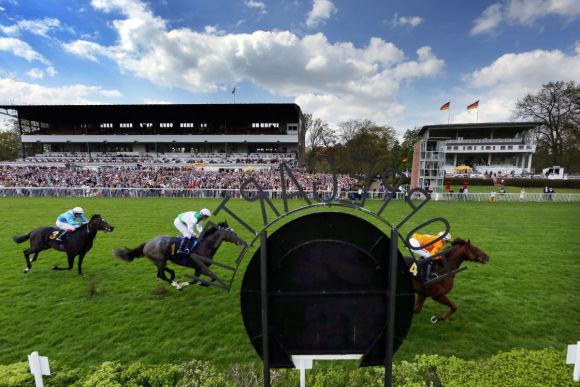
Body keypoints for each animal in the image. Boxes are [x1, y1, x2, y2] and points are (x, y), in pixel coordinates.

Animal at [114, 221, 247, 292]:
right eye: (231, 232)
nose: (240, 241)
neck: (205, 246)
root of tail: (147, 243)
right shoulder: (200, 268)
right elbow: (198, 280)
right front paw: (183, 284)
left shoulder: (198, 269)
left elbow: (207, 279)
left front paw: (202, 284)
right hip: (160, 260)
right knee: (161, 274)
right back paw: (176, 285)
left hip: (161, 260)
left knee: (163, 272)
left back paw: (173, 278)